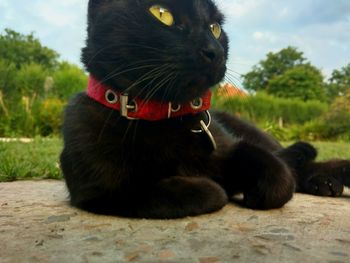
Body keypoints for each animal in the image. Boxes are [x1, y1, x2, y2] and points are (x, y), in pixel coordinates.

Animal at [60, 0, 350, 219]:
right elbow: (193, 191)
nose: (215, 50)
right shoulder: (102, 189)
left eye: (215, 27)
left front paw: (255, 191)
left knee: (289, 160)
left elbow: (278, 174)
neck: (164, 117)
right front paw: (215, 186)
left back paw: (328, 178)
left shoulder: (232, 146)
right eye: (161, 13)